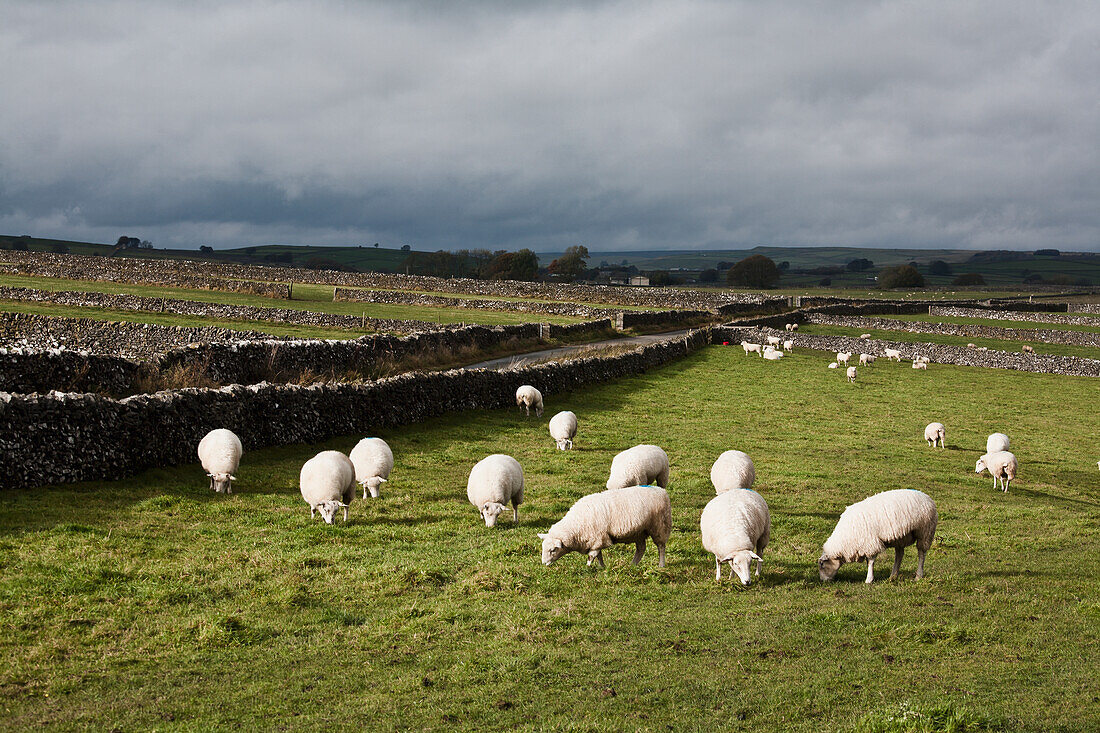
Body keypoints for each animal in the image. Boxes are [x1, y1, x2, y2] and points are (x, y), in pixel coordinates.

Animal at [539, 482, 668, 567]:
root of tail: (660, 490)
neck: (575, 525)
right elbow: (598, 555)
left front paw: (588, 567)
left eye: (553, 550)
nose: (544, 563)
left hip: (659, 526)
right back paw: (632, 565)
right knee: (641, 549)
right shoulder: (596, 540)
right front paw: (602, 567)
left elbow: (592, 556)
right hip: (639, 532)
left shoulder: (599, 538)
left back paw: (661, 565)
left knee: (661, 547)